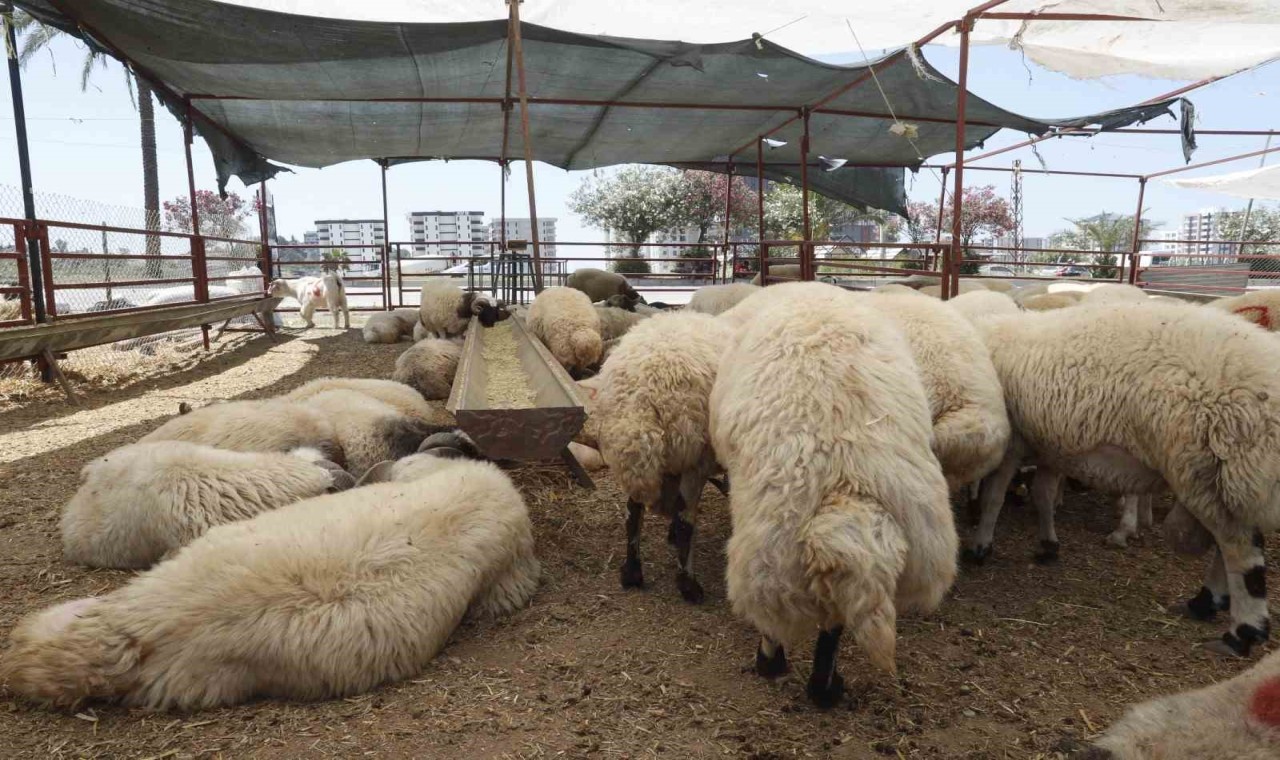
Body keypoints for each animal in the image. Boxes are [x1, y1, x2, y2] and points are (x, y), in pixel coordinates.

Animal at [581, 310, 732, 601]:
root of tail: (643, 395)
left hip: (635, 456)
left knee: (632, 513)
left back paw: (632, 573)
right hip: (693, 454)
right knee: (685, 522)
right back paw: (689, 586)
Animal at [967, 299, 1280, 655]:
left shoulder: (1014, 442)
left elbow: (993, 498)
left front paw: (981, 545)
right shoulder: (1050, 446)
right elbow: (1043, 496)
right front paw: (1048, 545)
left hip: (1201, 465)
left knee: (1239, 548)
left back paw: (1241, 631)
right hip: (1224, 477)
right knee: (1229, 542)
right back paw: (1206, 602)